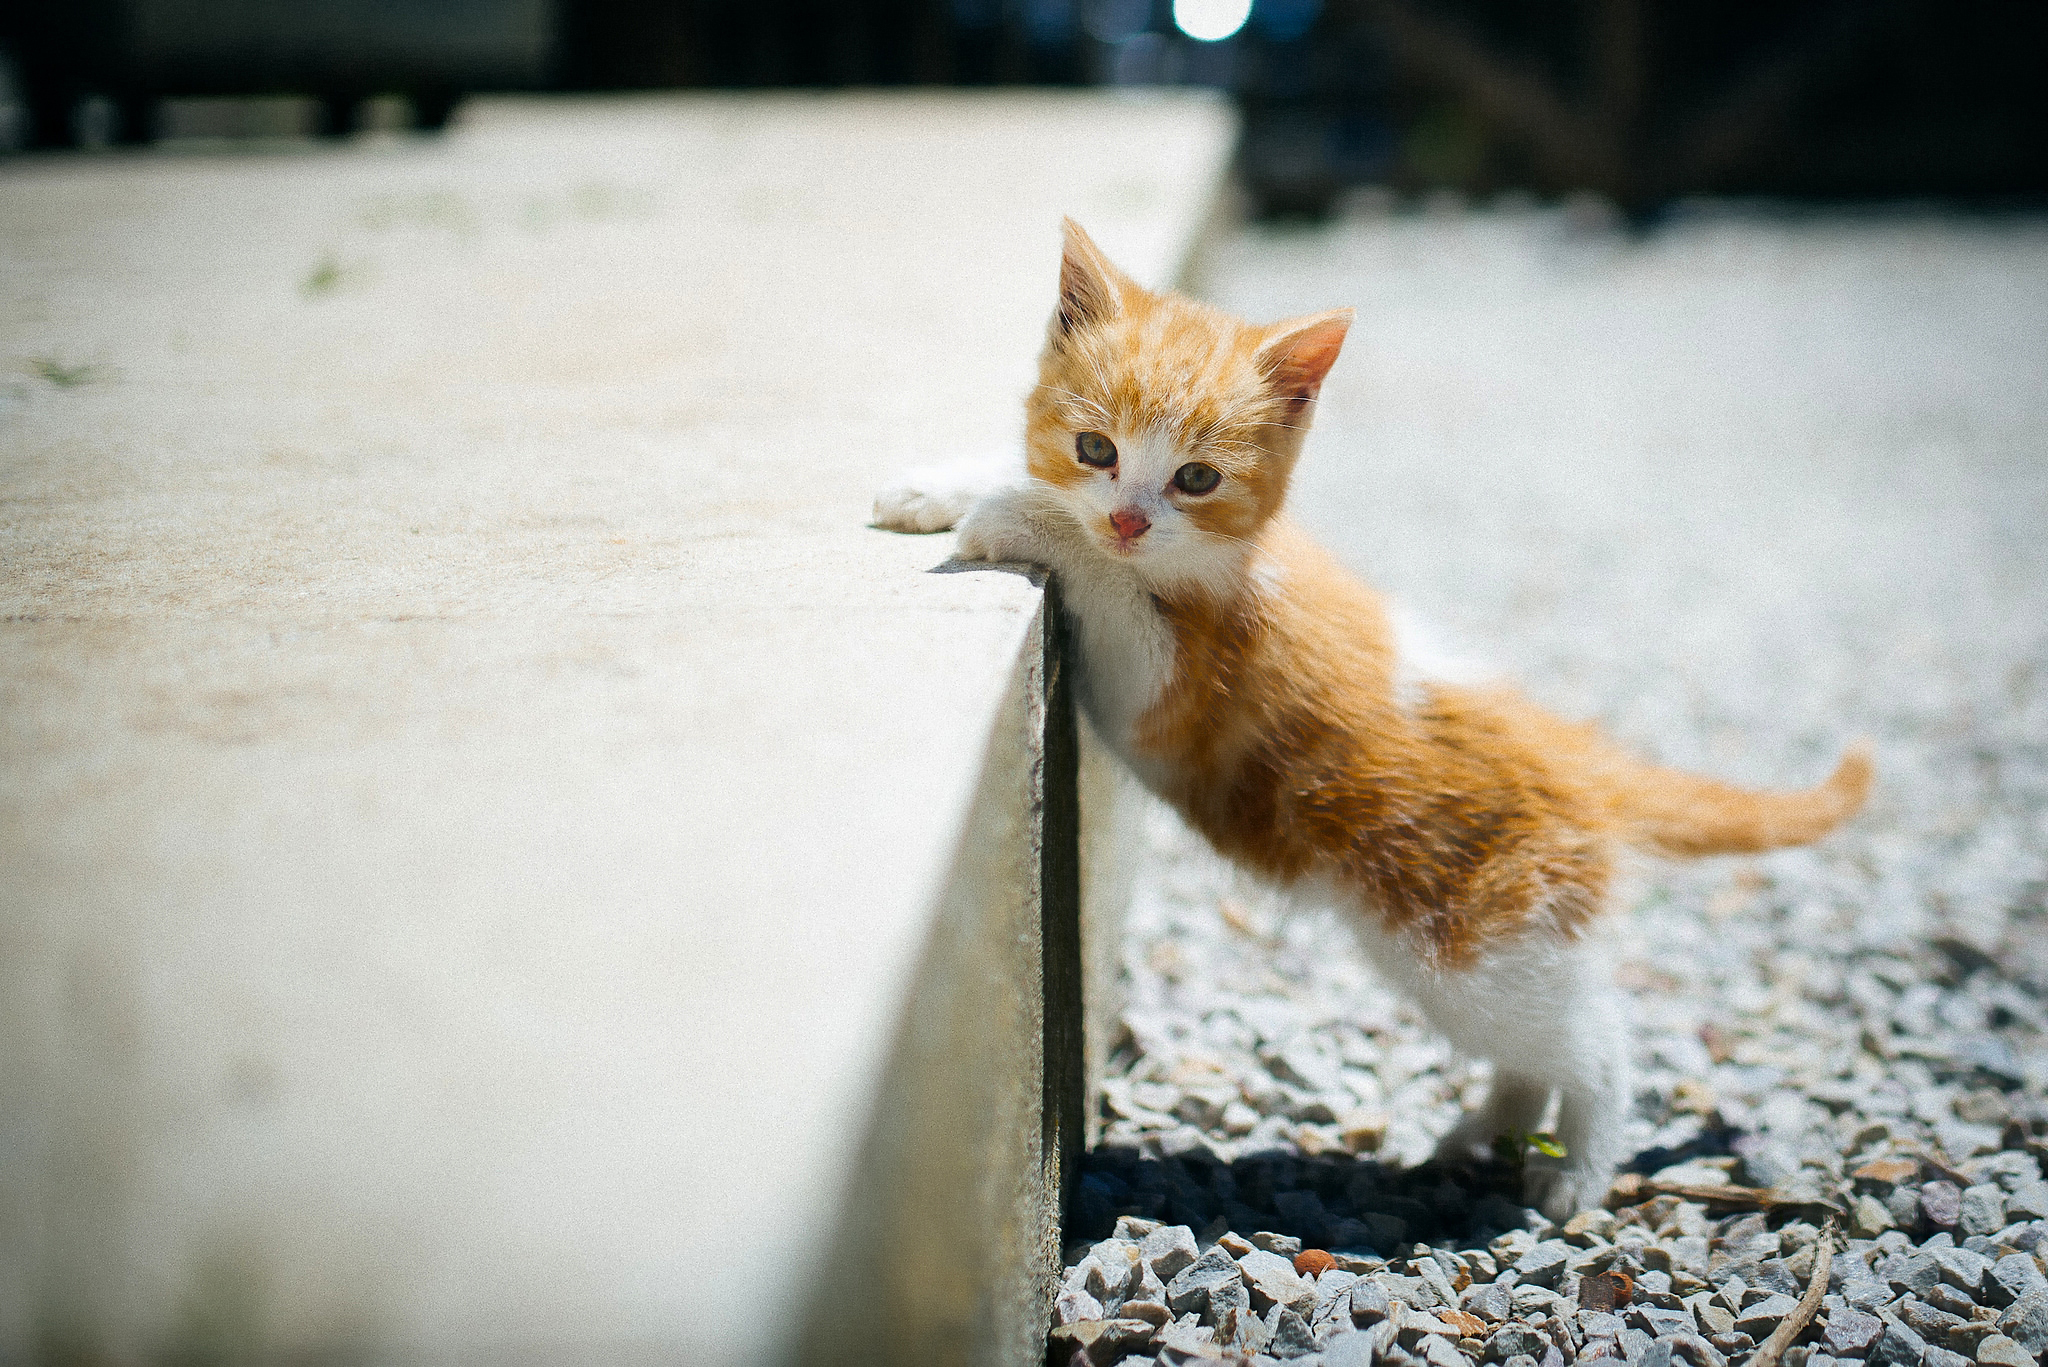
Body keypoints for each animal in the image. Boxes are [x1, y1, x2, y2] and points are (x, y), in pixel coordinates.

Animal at [868, 224, 1875, 1221]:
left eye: (1196, 478)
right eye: (1094, 448)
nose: (1127, 519)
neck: (1230, 554)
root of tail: (1577, 758)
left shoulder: (1166, 678)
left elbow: (1107, 587)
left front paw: (1015, 517)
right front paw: (940, 488)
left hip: (1470, 949)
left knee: (1594, 1040)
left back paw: (1577, 1169)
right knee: (1539, 1045)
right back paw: (1488, 1133)